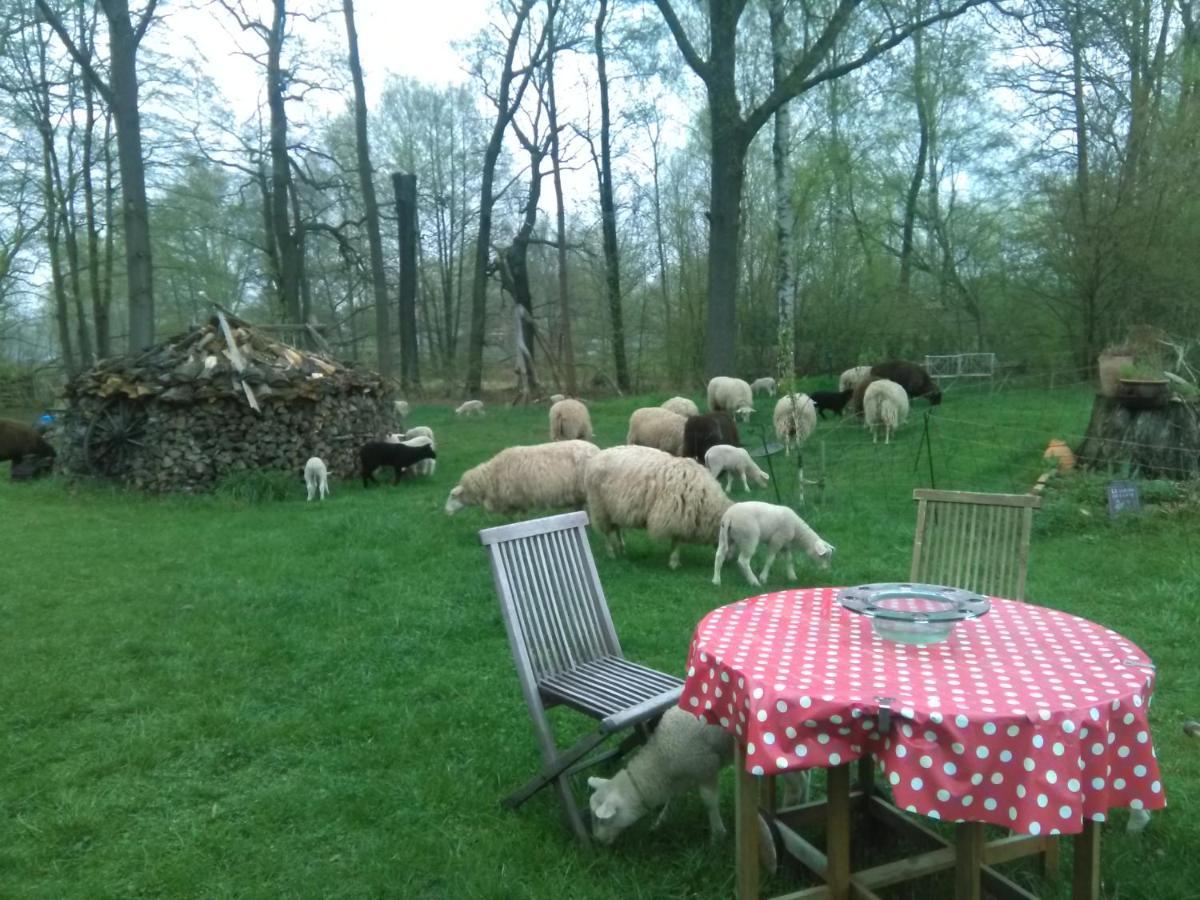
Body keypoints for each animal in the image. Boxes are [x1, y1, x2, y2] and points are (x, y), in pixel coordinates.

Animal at [444, 441, 597, 518]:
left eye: (452, 496)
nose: (445, 511)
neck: (488, 479)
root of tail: (595, 449)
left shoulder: (517, 501)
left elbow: (517, 519)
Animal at [583, 446, 729, 571]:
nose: (727, 562)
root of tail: (596, 457)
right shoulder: (675, 516)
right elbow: (676, 542)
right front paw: (674, 563)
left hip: (613, 508)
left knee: (616, 528)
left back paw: (622, 548)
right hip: (599, 507)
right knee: (606, 533)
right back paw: (611, 553)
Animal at [583, 710, 724, 844]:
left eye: (601, 820)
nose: (597, 840)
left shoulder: (706, 767)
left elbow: (709, 802)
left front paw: (717, 835)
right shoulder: (683, 776)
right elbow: (672, 797)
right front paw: (661, 821)